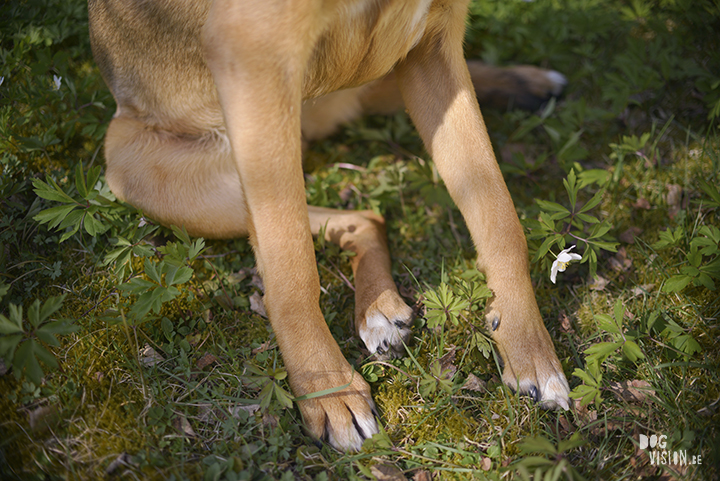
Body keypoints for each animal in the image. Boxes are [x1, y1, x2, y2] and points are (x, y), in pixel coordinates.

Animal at [90, 0, 572, 450]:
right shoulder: (257, 64)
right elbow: (292, 270)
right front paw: (327, 390)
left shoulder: (433, 48)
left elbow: (498, 214)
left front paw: (528, 347)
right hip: (150, 170)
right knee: (336, 225)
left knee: (366, 217)